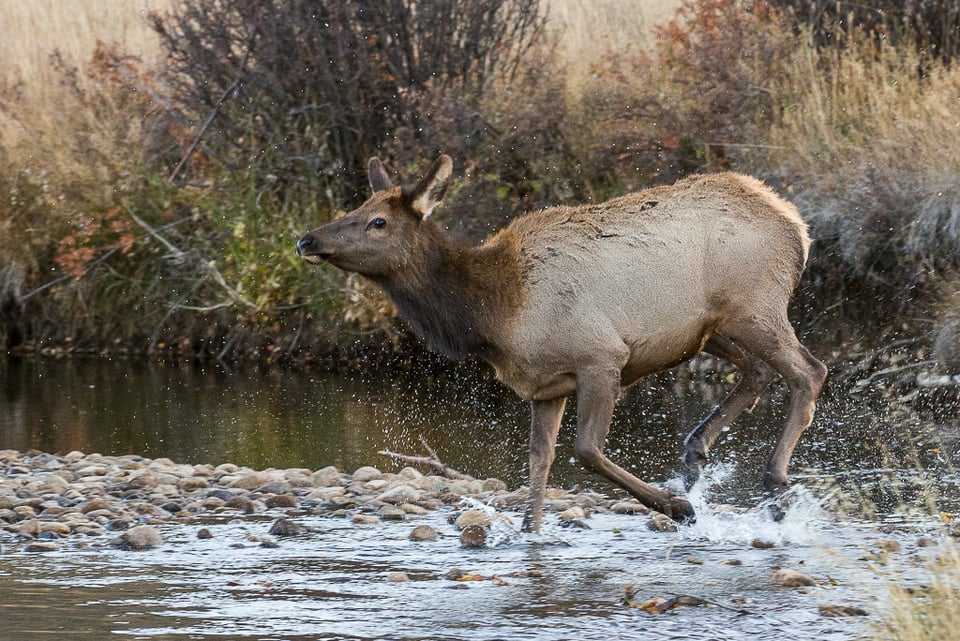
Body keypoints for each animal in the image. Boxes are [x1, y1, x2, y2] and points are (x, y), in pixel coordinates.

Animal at [296, 155, 828, 528]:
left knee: (810, 370)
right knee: (759, 371)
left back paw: (772, 483)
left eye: (378, 222)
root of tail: (797, 225)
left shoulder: (602, 357)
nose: (307, 240)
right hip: (710, 331)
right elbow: (539, 463)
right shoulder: (544, 387)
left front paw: (678, 508)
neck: (495, 312)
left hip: (754, 306)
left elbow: (586, 451)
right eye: (357, 208)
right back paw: (697, 453)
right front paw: (528, 534)